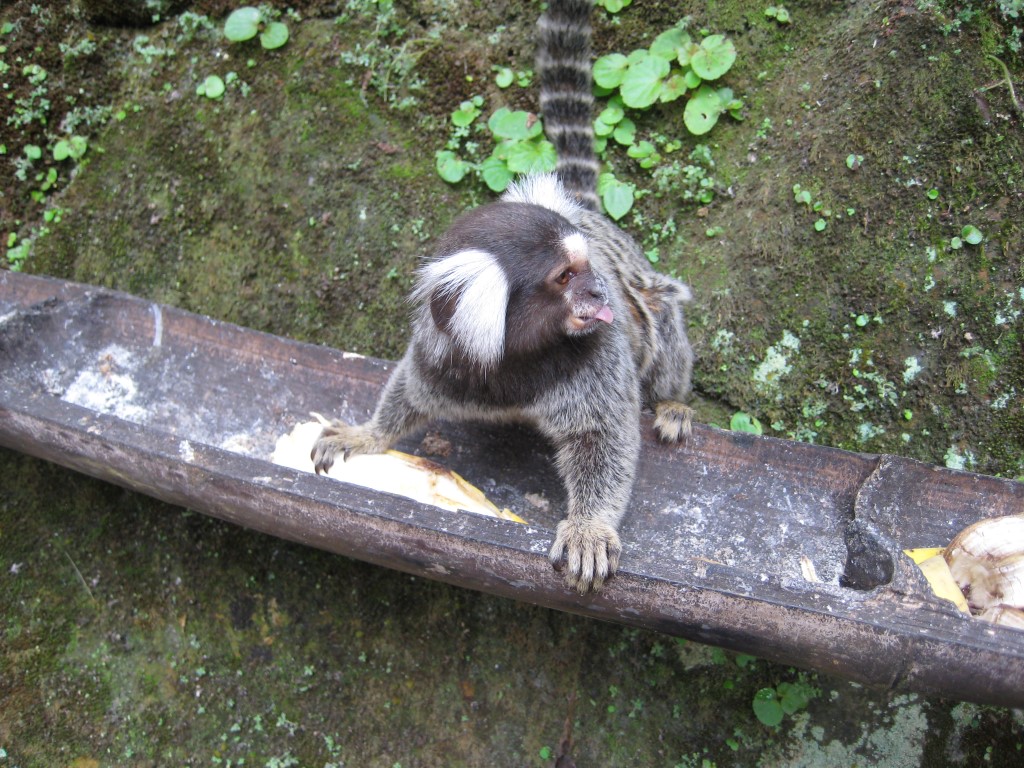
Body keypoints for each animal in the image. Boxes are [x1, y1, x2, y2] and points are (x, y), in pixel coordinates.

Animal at [311, 0, 694, 594]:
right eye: (565, 276)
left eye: (588, 267)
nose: (600, 289)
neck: (518, 358)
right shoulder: (449, 355)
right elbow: (410, 393)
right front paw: (366, 435)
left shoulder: (597, 354)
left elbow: (603, 435)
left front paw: (589, 527)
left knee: (660, 317)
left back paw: (674, 400)